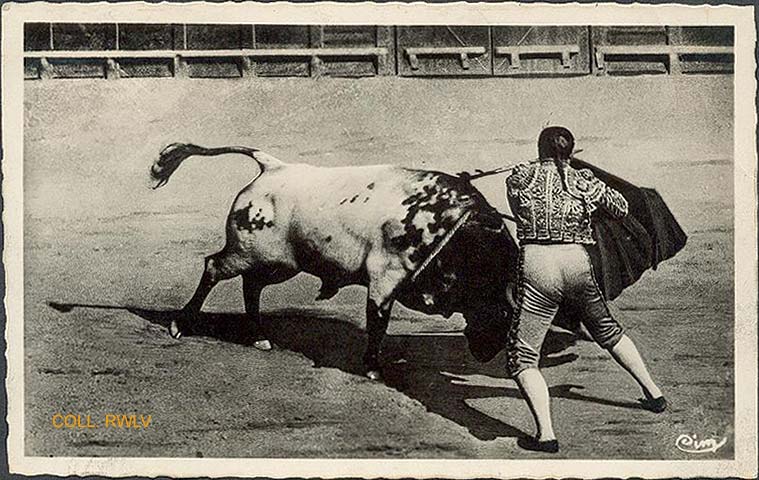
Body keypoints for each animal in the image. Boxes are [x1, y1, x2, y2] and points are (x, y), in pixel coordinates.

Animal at [150, 143, 516, 378]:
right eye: (498, 306)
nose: (487, 353)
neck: (452, 227)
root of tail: (273, 166)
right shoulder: (385, 278)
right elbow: (378, 322)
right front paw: (373, 368)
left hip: (281, 264)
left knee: (251, 286)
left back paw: (259, 337)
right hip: (246, 252)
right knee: (214, 267)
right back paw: (181, 324)